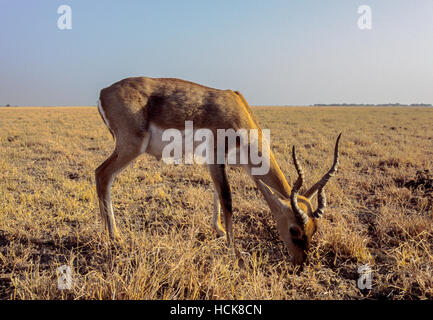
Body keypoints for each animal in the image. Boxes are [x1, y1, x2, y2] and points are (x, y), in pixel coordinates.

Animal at [95, 77, 340, 264]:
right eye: (294, 230)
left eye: (314, 230)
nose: (300, 263)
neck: (238, 112)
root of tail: (104, 91)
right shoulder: (215, 158)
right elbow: (227, 200)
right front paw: (237, 255)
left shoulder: (217, 163)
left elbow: (216, 194)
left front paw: (219, 230)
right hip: (131, 147)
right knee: (102, 174)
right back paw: (114, 237)